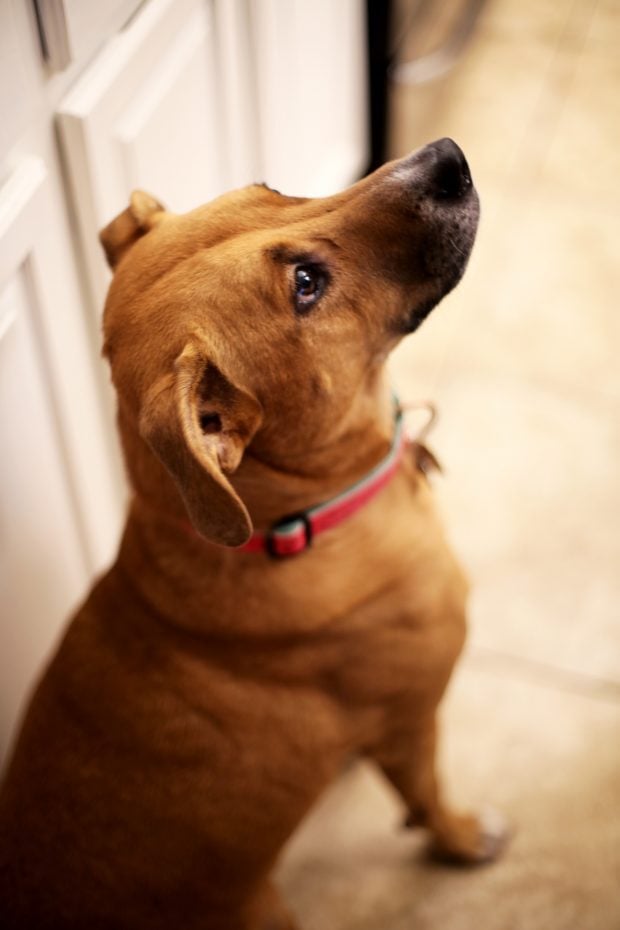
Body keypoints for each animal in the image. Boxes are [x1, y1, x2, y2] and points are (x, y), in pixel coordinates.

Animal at [0, 140, 504, 928]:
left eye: (272, 190)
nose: (446, 158)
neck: (293, 518)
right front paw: (459, 837)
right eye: (305, 284)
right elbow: (425, 797)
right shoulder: (412, 721)